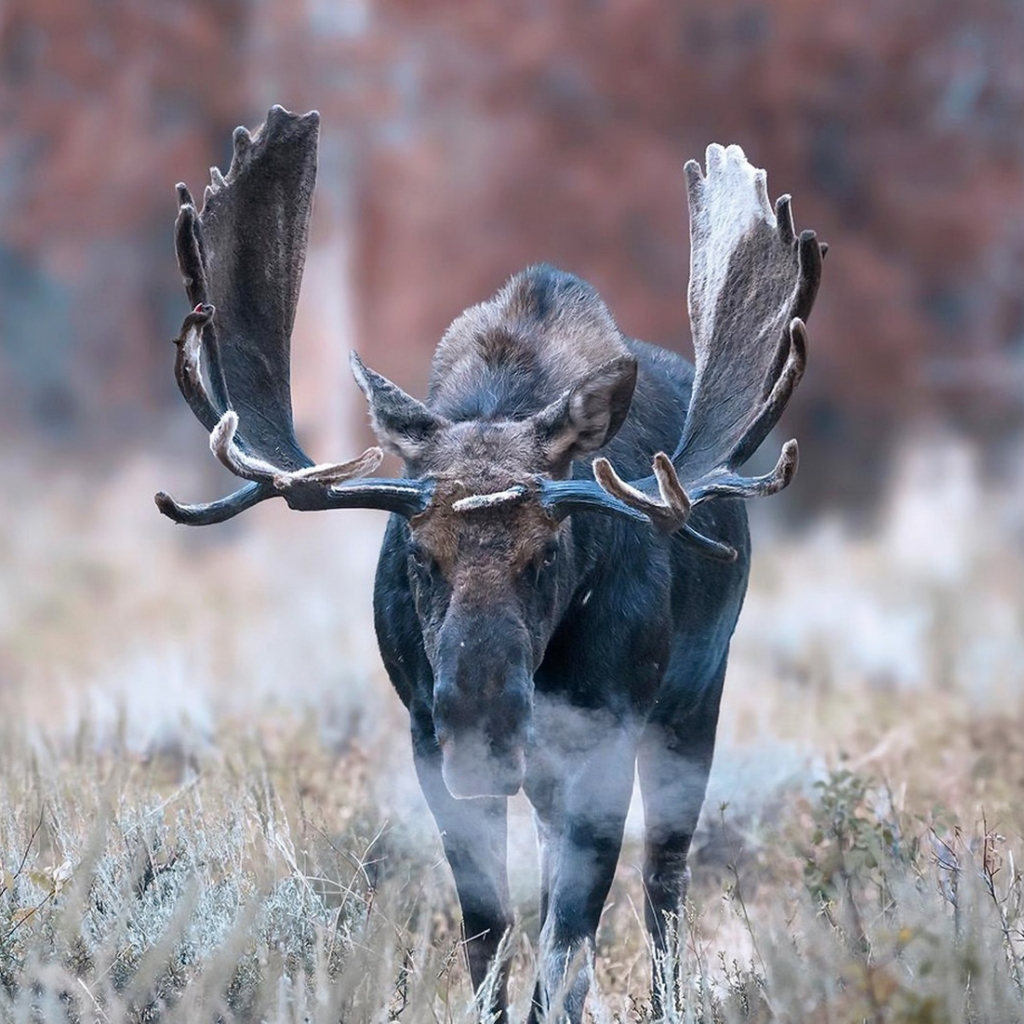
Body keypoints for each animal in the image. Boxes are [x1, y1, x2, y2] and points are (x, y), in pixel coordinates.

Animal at [157, 108, 823, 1019]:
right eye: (417, 554)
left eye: (549, 553)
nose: (482, 721)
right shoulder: (424, 738)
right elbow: (489, 934)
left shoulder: (607, 734)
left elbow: (569, 942)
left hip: (693, 703)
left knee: (664, 885)